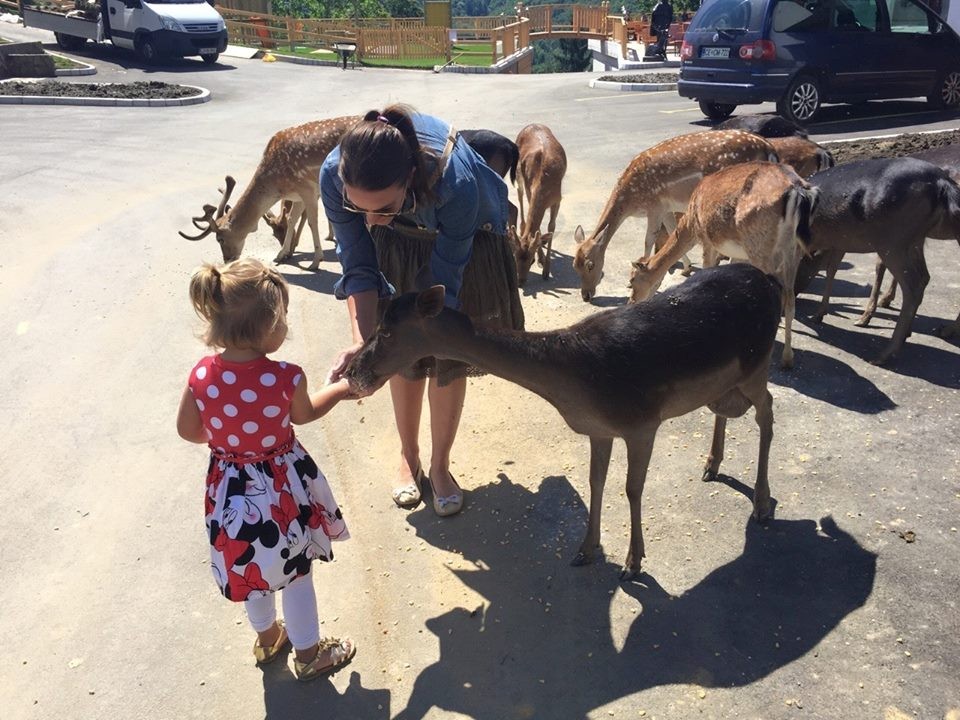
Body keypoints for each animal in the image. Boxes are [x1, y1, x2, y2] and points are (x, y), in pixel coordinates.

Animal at [178, 115, 358, 270]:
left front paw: (315, 261)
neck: (277, 185)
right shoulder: (297, 195)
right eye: (273, 235)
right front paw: (281, 254)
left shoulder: (307, 188)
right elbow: (291, 219)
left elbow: (311, 222)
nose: (227, 260)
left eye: (219, 239)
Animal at [344, 264, 780, 580]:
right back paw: (712, 466)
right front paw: (585, 550)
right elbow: (595, 481)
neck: (576, 380)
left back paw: (761, 503)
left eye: (387, 331)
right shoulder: (599, 429)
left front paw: (633, 563)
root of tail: (771, 281)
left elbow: (632, 489)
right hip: (728, 381)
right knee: (725, 408)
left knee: (768, 413)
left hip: (758, 364)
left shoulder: (642, 423)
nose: (352, 370)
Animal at [512, 124, 568, 284]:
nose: (520, 281)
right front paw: (542, 259)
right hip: (519, 175)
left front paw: (546, 270)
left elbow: (551, 227)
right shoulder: (530, 190)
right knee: (519, 195)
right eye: (514, 258)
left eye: (530, 261)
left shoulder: (558, 198)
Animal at [572, 129, 776, 300]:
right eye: (575, 266)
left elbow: (649, 240)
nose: (586, 296)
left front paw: (645, 270)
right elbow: (672, 231)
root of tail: (768, 147)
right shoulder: (666, 208)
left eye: (591, 264)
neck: (631, 201)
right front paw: (686, 267)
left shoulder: (654, 205)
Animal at [632, 160, 816, 368]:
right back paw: (787, 358)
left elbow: (707, 271)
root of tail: (797, 191)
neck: (690, 223)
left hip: (761, 247)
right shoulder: (738, 254)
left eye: (632, 282)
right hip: (794, 250)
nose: (631, 301)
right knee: (791, 299)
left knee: (780, 294)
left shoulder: (707, 240)